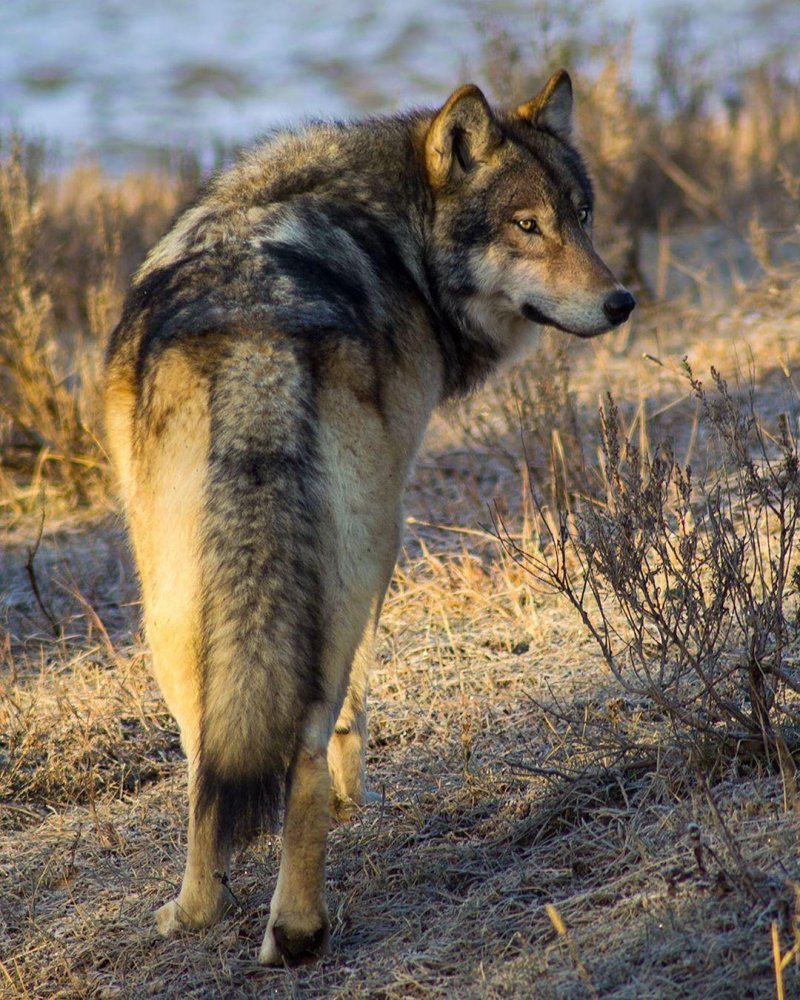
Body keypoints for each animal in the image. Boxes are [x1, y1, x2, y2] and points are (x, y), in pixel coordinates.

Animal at [104, 68, 632, 960]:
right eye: (527, 226)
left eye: (582, 218)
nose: (621, 301)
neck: (394, 235)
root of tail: (258, 325)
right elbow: (355, 703)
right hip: (360, 550)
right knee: (302, 742)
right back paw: (290, 927)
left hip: (169, 603)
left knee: (223, 754)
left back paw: (220, 914)